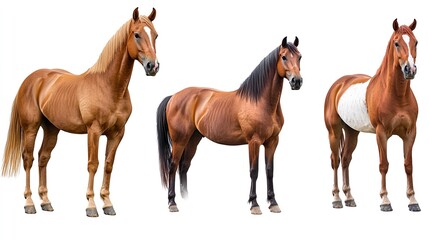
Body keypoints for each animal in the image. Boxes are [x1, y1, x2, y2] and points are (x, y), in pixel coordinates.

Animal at [1, 7, 159, 218]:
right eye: (136, 34)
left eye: (156, 35)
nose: (153, 66)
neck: (110, 87)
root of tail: (32, 79)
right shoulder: (94, 131)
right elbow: (93, 164)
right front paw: (91, 205)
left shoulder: (117, 134)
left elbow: (108, 165)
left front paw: (107, 203)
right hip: (31, 129)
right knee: (28, 159)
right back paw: (29, 203)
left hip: (51, 129)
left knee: (43, 157)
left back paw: (46, 201)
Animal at [156, 36, 300, 215]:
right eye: (284, 57)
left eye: (300, 57)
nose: (297, 81)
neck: (260, 101)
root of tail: (173, 97)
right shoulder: (254, 142)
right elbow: (254, 171)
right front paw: (254, 204)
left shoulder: (272, 142)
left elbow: (269, 171)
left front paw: (273, 203)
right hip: (179, 140)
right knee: (173, 165)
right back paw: (172, 202)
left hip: (193, 139)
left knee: (184, 165)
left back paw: (186, 199)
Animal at [324, 19, 418, 212]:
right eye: (397, 43)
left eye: (416, 42)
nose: (410, 70)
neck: (397, 96)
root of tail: (338, 85)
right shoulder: (381, 134)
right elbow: (384, 165)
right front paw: (385, 201)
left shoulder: (410, 133)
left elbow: (408, 165)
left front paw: (413, 201)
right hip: (334, 133)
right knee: (335, 160)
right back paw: (336, 198)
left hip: (352, 132)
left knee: (346, 159)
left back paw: (349, 197)